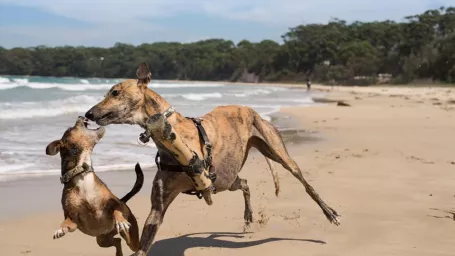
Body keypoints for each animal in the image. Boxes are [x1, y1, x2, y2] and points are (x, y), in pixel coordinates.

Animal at [46, 117, 142, 255]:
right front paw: (60, 229)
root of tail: (125, 201)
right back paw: (119, 253)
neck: (81, 173)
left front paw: (121, 220)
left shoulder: (112, 201)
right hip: (102, 240)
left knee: (134, 243)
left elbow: (116, 209)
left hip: (131, 239)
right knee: (117, 241)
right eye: (70, 128)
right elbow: (67, 222)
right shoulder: (73, 219)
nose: (81, 116)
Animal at [86, 63, 342, 255]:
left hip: (277, 154)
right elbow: (143, 245)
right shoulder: (158, 207)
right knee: (245, 183)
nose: (89, 114)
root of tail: (249, 109)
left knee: (305, 183)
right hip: (225, 180)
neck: (171, 134)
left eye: (115, 92)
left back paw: (329, 213)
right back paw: (248, 215)